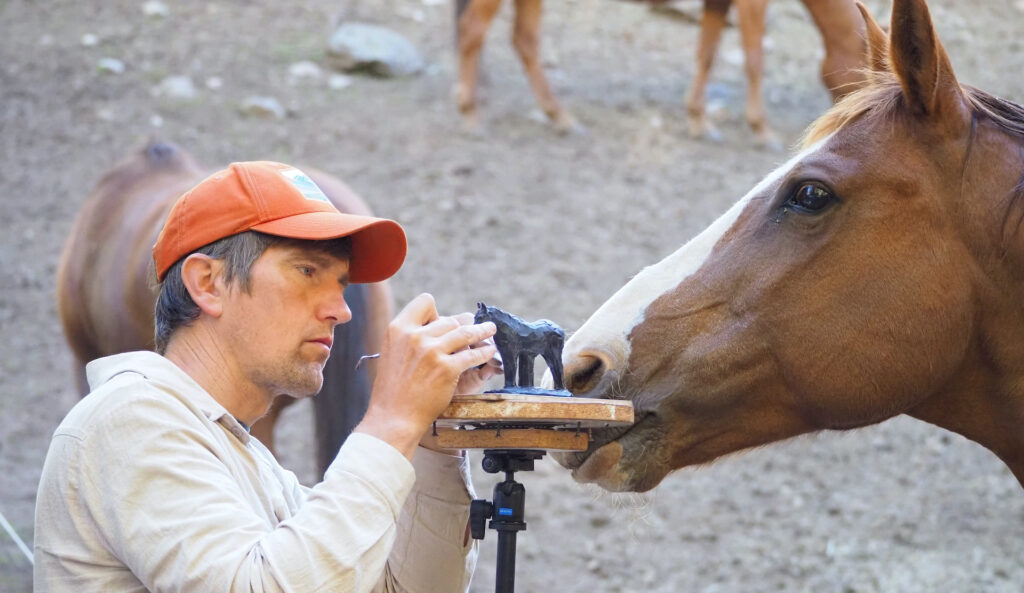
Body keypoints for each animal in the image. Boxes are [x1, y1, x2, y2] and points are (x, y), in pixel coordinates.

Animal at [456, 0, 864, 146]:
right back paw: (470, 113)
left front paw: (699, 119)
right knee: (472, 30)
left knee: (523, 40)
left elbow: (707, 53)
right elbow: (753, 59)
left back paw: (560, 117)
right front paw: (760, 128)